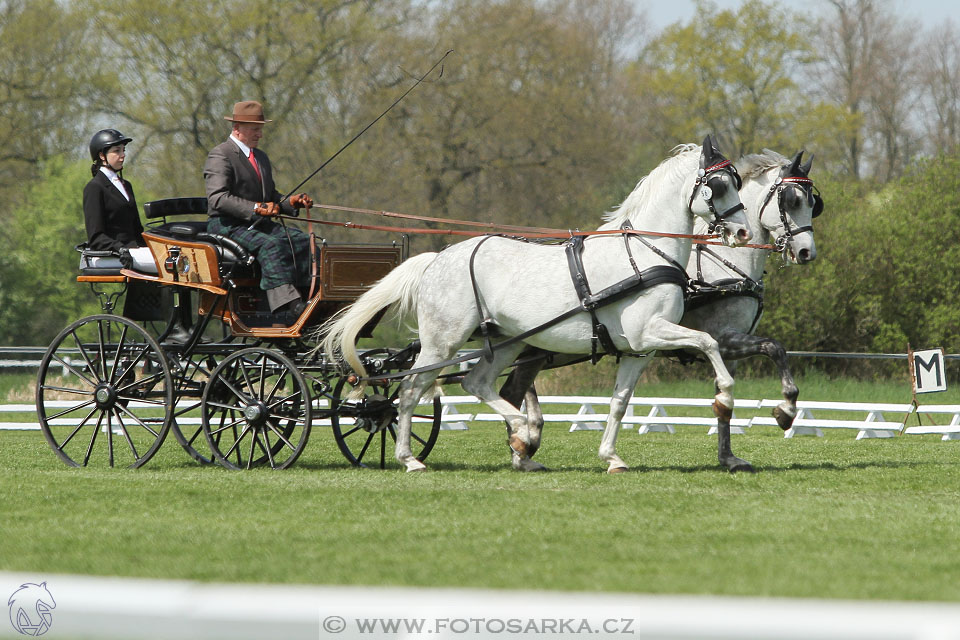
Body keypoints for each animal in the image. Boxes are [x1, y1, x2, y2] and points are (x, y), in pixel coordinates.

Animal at [320, 138, 752, 472]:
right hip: (443, 343)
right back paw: (416, 458)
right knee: (411, 391)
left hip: (505, 342)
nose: (744, 232)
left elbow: (619, 403)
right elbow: (710, 343)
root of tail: (437, 259)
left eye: (736, 182)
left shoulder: (639, 349)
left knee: (476, 383)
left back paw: (521, 441)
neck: (645, 252)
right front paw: (724, 398)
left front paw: (611, 457)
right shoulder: (652, 331)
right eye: (718, 185)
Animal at [498, 149, 820, 470]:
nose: (807, 252)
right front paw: (785, 411)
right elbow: (773, 348)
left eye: (813, 204)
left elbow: (737, 390)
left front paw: (729, 456)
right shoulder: (722, 336)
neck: (722, 264)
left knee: (514, 388)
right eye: (791, 200)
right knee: (514, 389)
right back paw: (524, 444)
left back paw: (524, 445)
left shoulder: (732, 349)